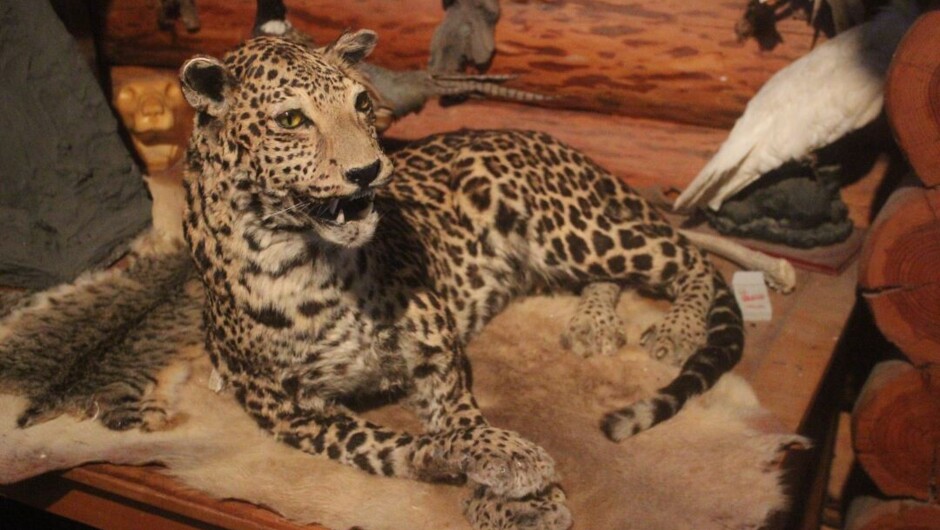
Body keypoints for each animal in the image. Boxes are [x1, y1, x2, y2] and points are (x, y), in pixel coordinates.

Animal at [178, 31, 743, 529]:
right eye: (291, 120)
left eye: (362, 103)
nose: (368, 171)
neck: (302, 263)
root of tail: (543, 137)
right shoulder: (296, 418)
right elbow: (396, 446)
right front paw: (505, 468)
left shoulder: (440, 352)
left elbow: (463, 418)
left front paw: (516, 491)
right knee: (614, 275)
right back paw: (593, 324)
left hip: (561, 227)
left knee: (687, 254)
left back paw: (677, 330)